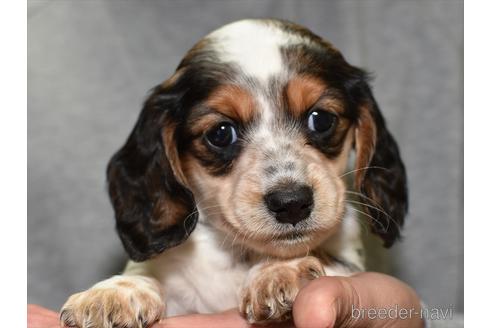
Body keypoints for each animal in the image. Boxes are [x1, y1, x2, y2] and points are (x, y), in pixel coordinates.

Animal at [60, 19, 408, 326]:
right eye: (221, 133)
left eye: (321, 119)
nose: (292, 203)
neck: (235, 256)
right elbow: (148, 275)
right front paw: (115, 292)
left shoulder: (349, 261)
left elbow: (327, 259)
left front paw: (280, 271)